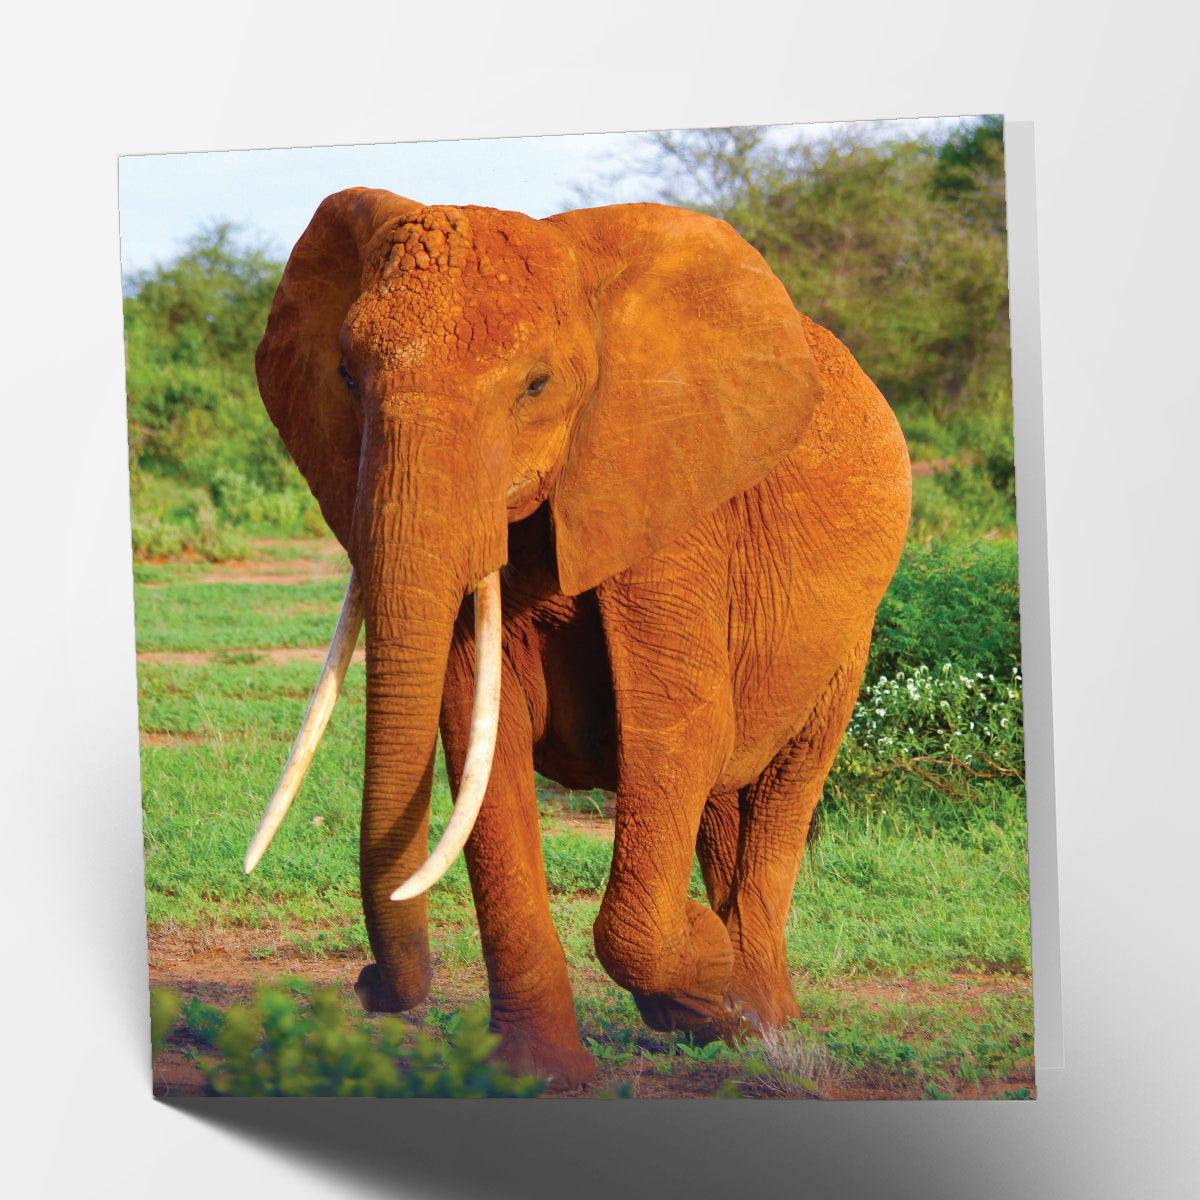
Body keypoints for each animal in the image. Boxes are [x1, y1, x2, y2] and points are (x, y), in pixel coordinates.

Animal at [242, 188, 911, 1089]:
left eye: (537, 386)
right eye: (346, 377)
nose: (366, 983)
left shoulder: (671, 497)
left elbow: (677, 730)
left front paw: (700, 971)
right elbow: (479, 739)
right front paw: (541, 1077)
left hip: (852, 629)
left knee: (783, 784)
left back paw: (762, 1023)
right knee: (722, 803)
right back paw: (734, 1019)